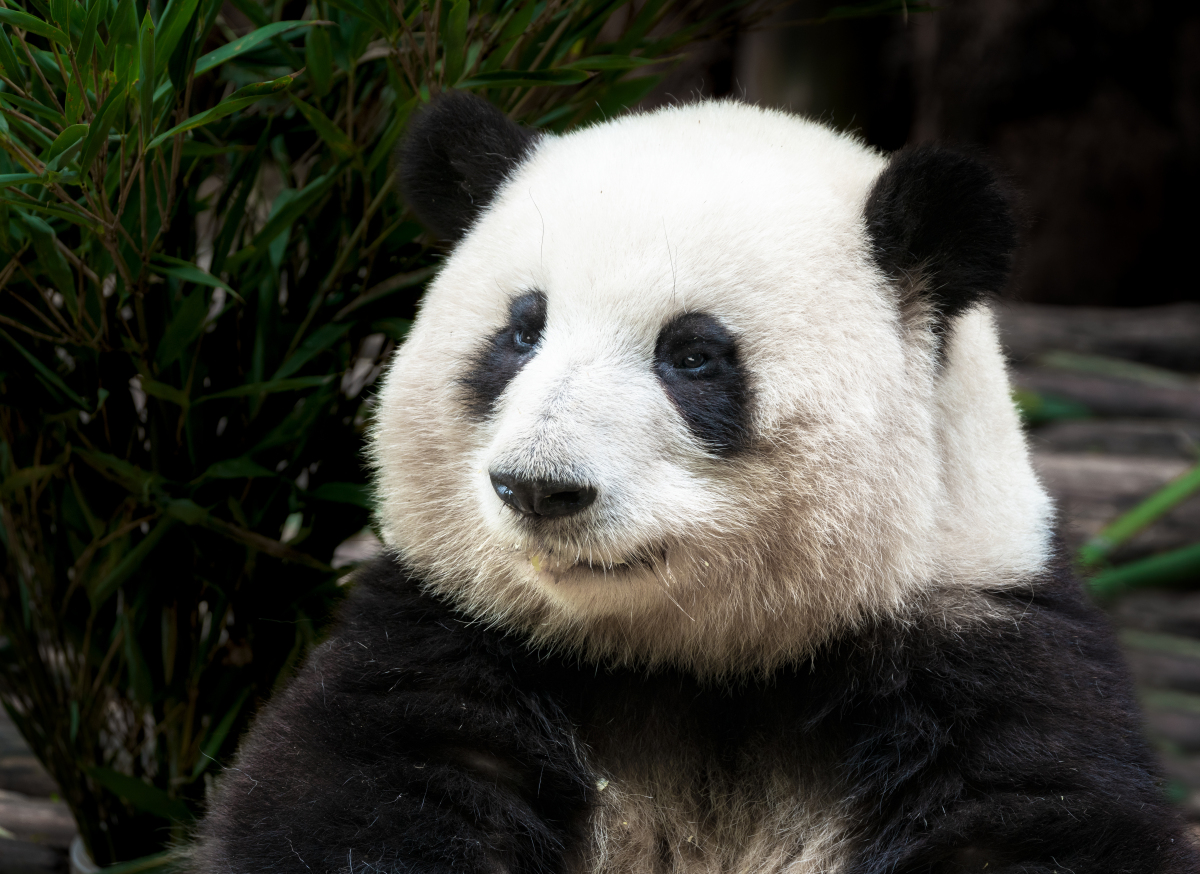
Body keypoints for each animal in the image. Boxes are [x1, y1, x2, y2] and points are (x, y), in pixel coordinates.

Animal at [192, 95, 1195, 874]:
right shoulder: (442, 641)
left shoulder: (979, 654)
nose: (539, 489)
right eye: (521, 331)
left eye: (693, 356)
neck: (694, 664)